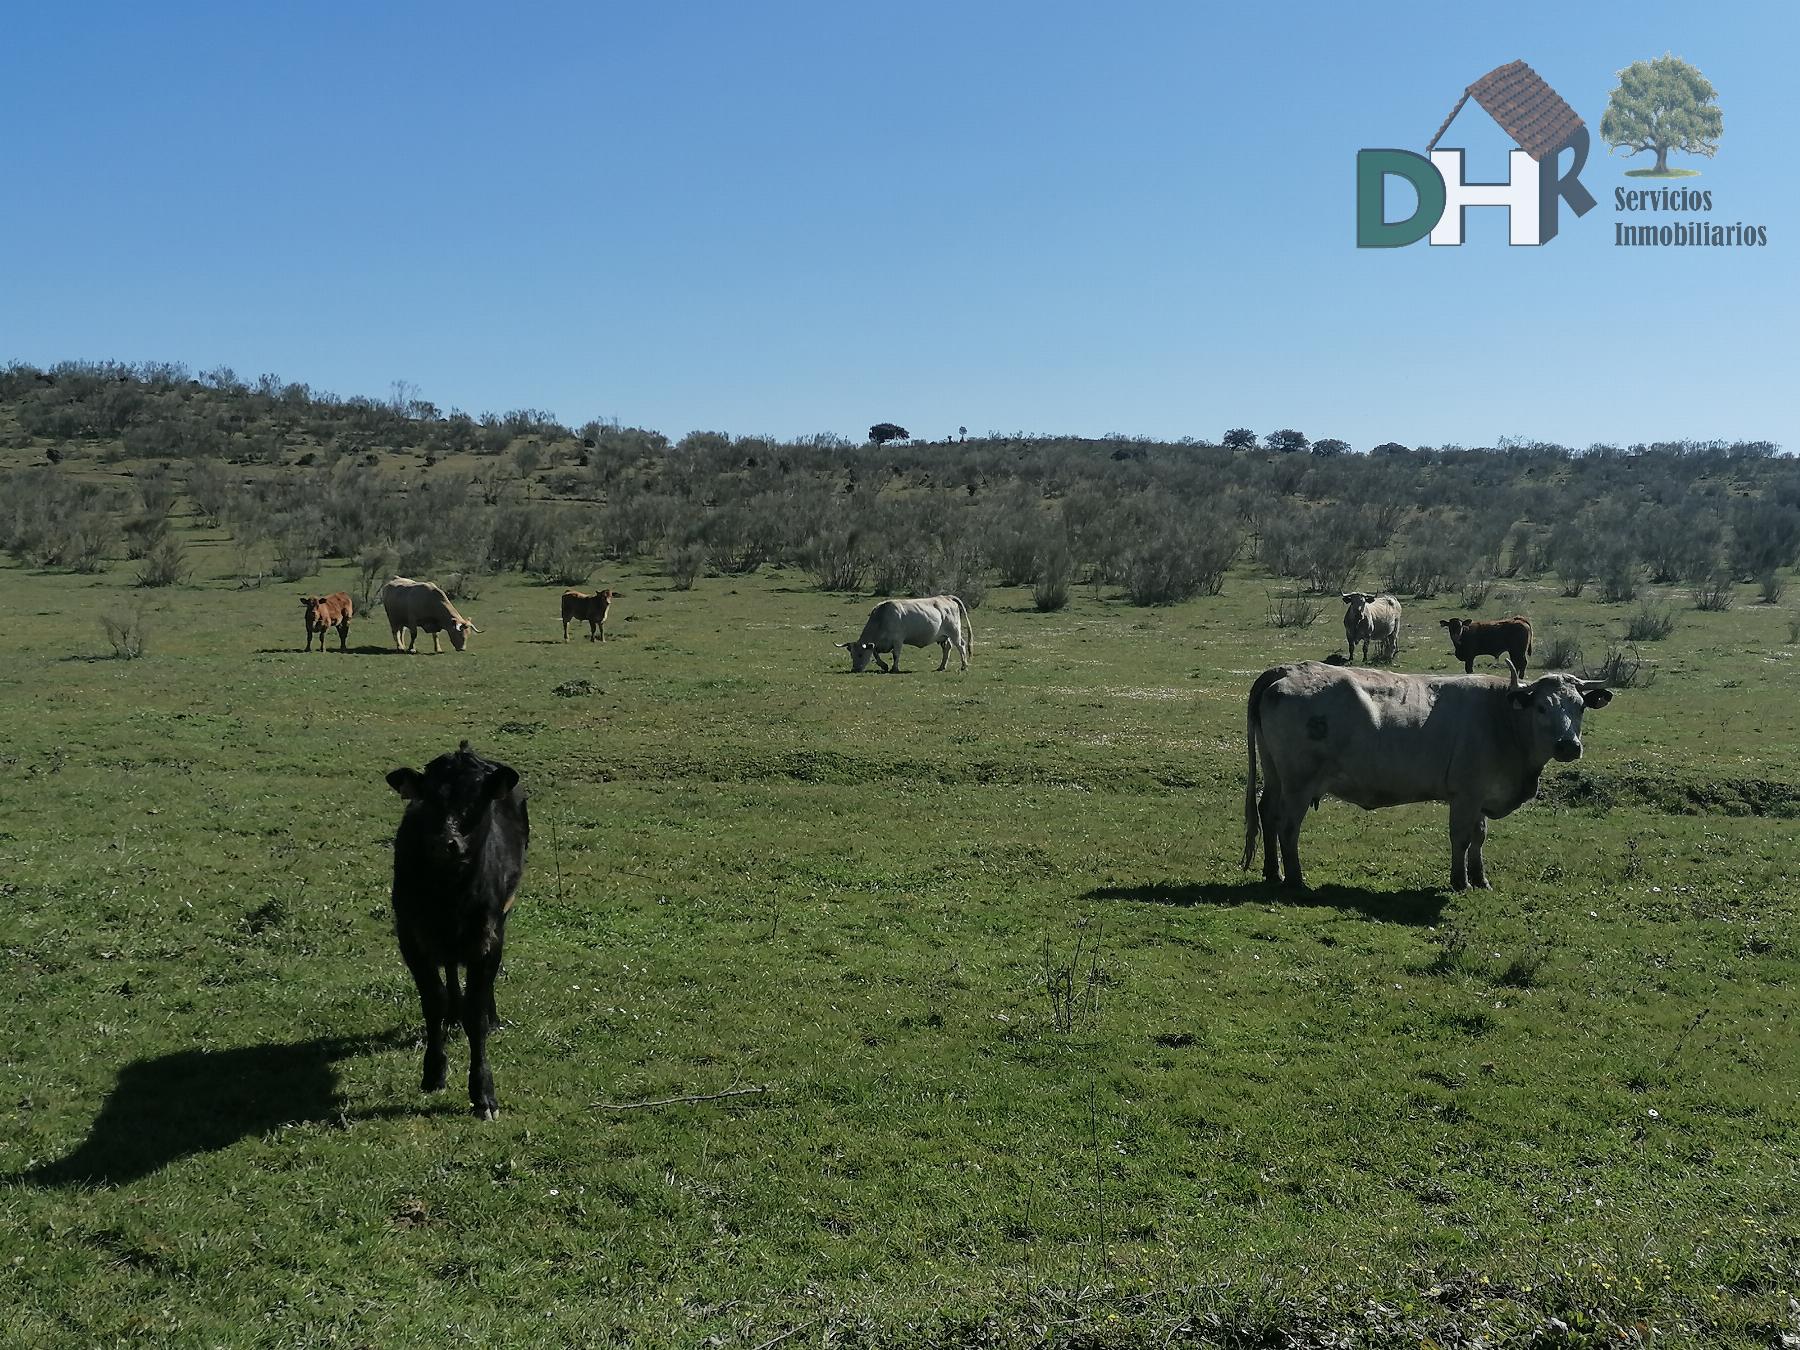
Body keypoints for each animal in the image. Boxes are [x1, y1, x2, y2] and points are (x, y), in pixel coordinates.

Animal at [390, 741, 529, 1123]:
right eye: (428, 798)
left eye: (477, 799)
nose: (445, 842)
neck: (448, 893)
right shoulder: (411, 936)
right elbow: (433, 1001)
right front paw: (433, 1072)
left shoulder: (487, 937)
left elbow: (475, 1013)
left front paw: (483, 1093)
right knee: (451, 971)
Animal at [838, 594, 972, 673]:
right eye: (852, 655)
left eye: (860, 654)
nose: (854, 669)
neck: (882, 618)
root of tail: (946, 597)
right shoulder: (878, 644)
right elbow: (875, 653)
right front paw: (884, 665)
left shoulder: (898, 640)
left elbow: (896, 655)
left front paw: (894, 668)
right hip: (944, 636)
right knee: (947, 648)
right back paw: (941, 667)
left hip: (954, 632)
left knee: (961, 645)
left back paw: (964, 666)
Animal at [1238, 658, 1620, 892]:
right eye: (1541, 707)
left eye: (1580, 706)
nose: (1568, 745)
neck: (1503, 718)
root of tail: (1287, 669)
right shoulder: (1466, 795)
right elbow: (1462, 838)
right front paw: (1460, 881)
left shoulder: (1481, 795)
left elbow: (1479, 837)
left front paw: (1480, 880)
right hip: (1299, 783)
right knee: (1288, 825)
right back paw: (1296, 879)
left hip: (1275, 773)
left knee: (1267, 812)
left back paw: (1272, 872)